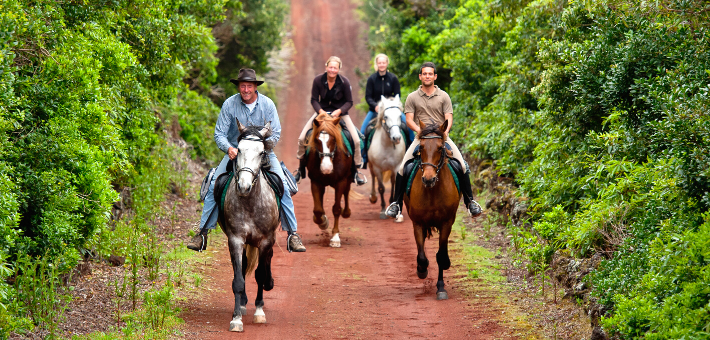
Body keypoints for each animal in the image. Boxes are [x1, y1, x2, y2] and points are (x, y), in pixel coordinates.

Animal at [220, 120, 280, 332]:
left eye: (262, 152)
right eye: (238, 150)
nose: (244, 187)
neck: (251, 202)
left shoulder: (266, 240)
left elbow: (260, 275)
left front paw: (259, 312)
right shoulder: (236, 239)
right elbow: (238, 279)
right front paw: (236, 318)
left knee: (265, 263)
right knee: (245, 266)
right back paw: (244, 303)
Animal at [306, 113, 354, 248]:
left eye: (333, 140)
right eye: (317, 140)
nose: (326, 168)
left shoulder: (341, 182)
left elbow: (336, 209)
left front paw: (335, 238)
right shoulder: (315, 181)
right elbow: (318, 210)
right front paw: (323, 222)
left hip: (348, 179)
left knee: (346, 193)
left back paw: (346, 212)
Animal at [370, 94, 408, 222]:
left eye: (400, 116)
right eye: (385, 116)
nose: (396, 138)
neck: (386, 146)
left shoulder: (396, 167)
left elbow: (394, 184)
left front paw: (392, 206)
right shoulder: (377, 168)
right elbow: (381, 188)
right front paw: (382, 211)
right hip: (371, 166)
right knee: (372, 177)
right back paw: (373, 197)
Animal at [406, 119, 462, 300]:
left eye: (439, 148)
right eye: (422, 147)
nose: (428, 179)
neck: (432, 191)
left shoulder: (447, 223)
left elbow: (441, 256)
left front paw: (441, 287)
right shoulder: (417, 223)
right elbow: (422, 255)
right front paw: (422, 270)